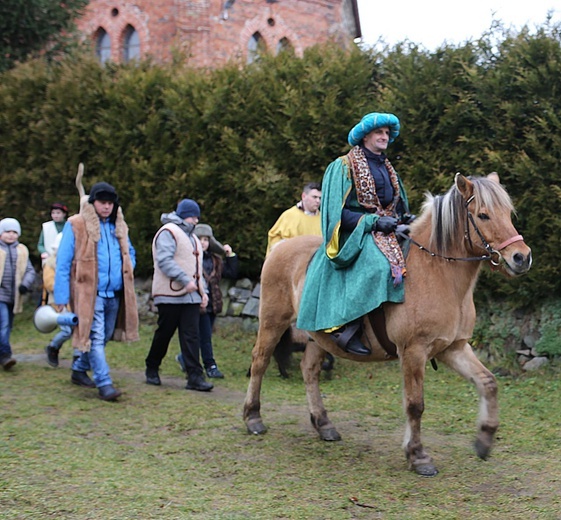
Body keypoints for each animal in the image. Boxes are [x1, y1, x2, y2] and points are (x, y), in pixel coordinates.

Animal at [243, 173, 532, 478]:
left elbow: (488, 383)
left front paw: (484, 439)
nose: (522, 257)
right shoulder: (413, 352)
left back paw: (324, 424)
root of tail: (281, 247)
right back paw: (253, 418)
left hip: (318, 337)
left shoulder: (453, 348)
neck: (437, 273)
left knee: (309, 371)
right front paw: (417, 455)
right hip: (273, 322)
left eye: (508, 213)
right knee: (260, 362)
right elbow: (415, 405)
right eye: (483, 215)